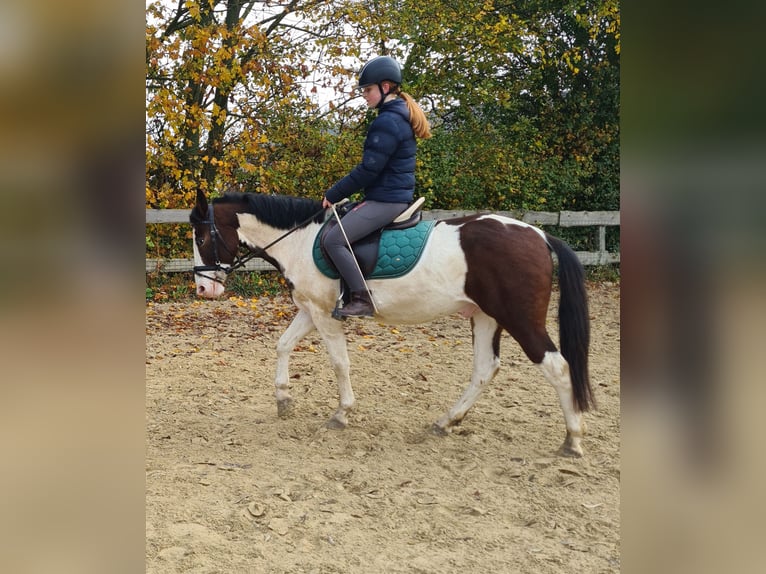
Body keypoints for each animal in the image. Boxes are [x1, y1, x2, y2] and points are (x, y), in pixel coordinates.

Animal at [189, 190, 596, 460]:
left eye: (202, 235)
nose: (204, 288)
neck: (301, 241)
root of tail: (540, 235)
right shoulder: (309, 310)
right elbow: (283, 345)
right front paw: (283, 400)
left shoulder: (324, 314)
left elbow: (339, 363)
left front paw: (341, 414)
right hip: (485, 316)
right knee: (485, 369)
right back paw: (446, 421)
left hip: (519, 318)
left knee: (558, 367)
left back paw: (573, 440)